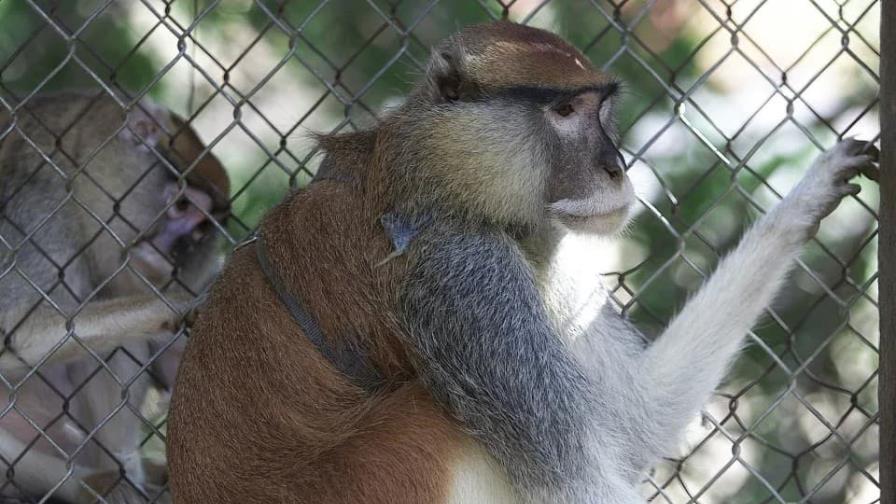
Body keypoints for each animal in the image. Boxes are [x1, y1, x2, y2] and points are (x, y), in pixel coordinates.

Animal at [1, 92, 231, 502]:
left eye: (202, 229)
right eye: (182, 205)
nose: (170, 249)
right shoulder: (37, 208)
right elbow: (16, 329)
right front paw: (180, 304)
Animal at [166, 21, 876, 502]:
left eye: (600, 108)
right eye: (562, 111)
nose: (615, 167)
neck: (431, 177)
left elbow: (640, 422)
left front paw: (812, 195)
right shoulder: (459, 272)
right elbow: (582, 481)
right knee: (433, 422)